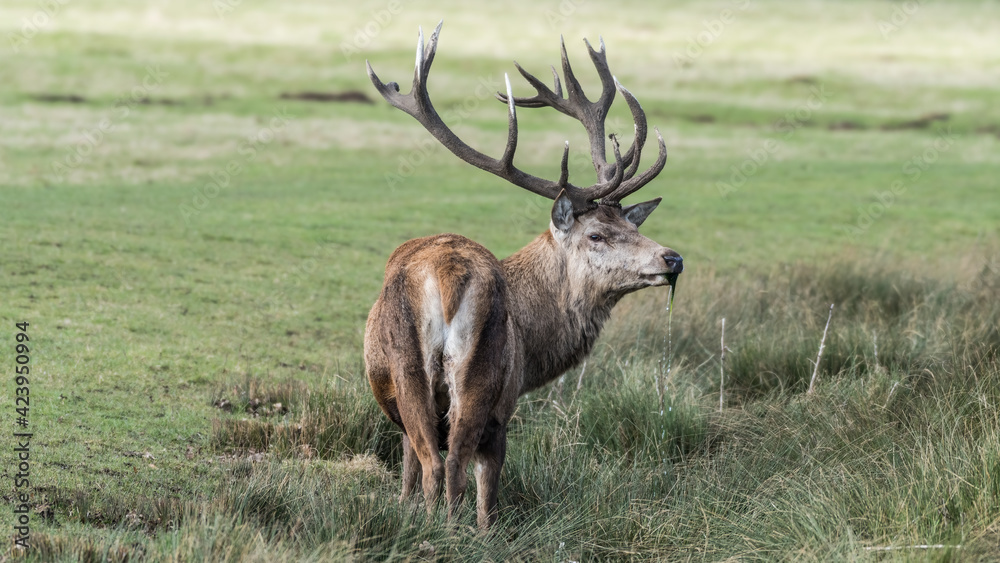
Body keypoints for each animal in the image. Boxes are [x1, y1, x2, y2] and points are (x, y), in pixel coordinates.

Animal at [363, 22, 683, 529]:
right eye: (596, 234)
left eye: (633, 226)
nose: (672, 259)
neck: (535, 346)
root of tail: (449, 274)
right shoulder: (503, 399)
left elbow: (414, 471)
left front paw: (407, 512)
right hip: (466, 379)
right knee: (450, 463)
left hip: (440, 374)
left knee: (442, 463)